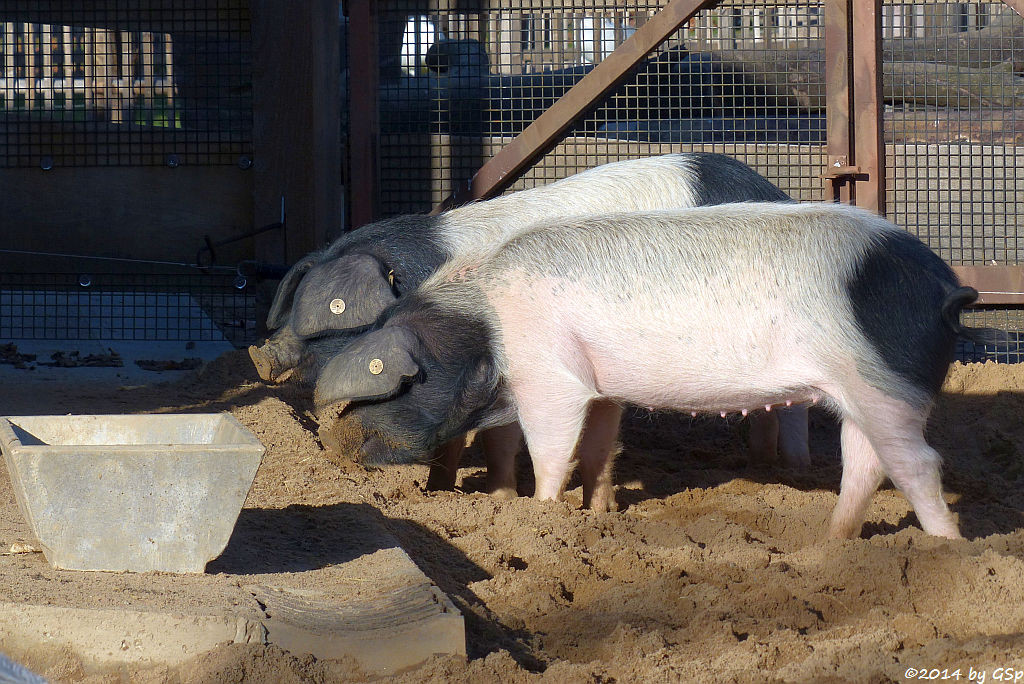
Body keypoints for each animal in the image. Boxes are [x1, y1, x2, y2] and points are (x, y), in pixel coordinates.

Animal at [313, 202, 983, 540]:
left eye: (402, 379)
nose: (336, 446)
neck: (486, 322)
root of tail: (945, 288)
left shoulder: (550, 375)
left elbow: (552, 448)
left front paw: (541, 513)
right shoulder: (603, 385)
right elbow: (600, 447)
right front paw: (600, 514)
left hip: (885, 384)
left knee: (918, 464)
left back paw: (944, 549)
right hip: (858, 393)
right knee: (865, 465)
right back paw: (830, 548)